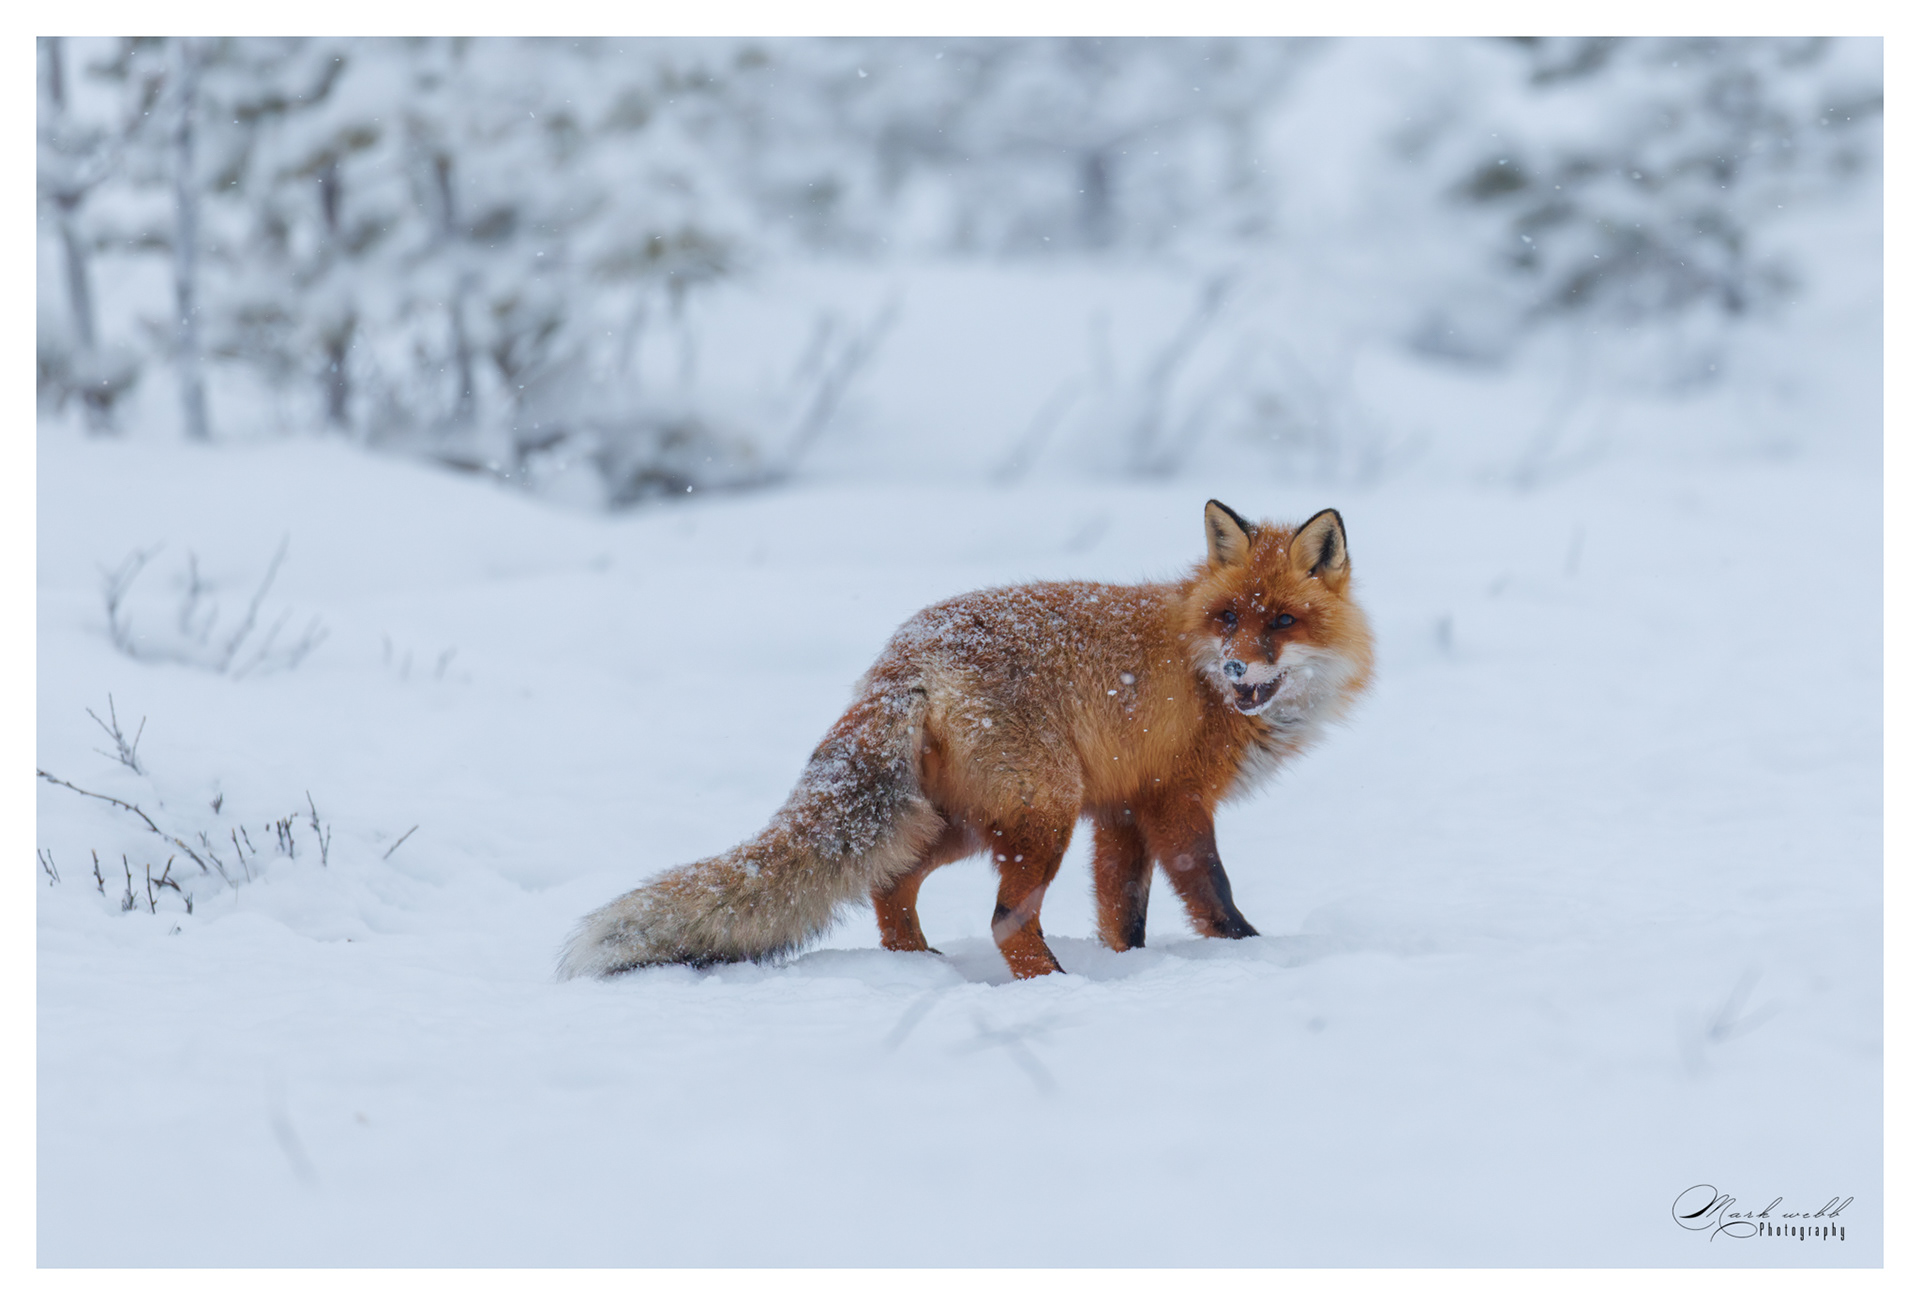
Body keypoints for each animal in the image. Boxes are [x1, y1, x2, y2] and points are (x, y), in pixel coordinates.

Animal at [559, 500, 1374, 981]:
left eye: (1282, 622)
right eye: (1228, 616)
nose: (1237, 667)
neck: (1202, 674)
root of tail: (908, 653)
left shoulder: (1122, 808)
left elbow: (1125, 915)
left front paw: (1129, 966)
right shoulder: (1174, 800)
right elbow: (1214, 895)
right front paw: (1254, 955)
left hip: (955, 822)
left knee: (888, 887)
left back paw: (917, 969)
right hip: (1040, 813)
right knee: (1004, 919)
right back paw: (1053, 988)